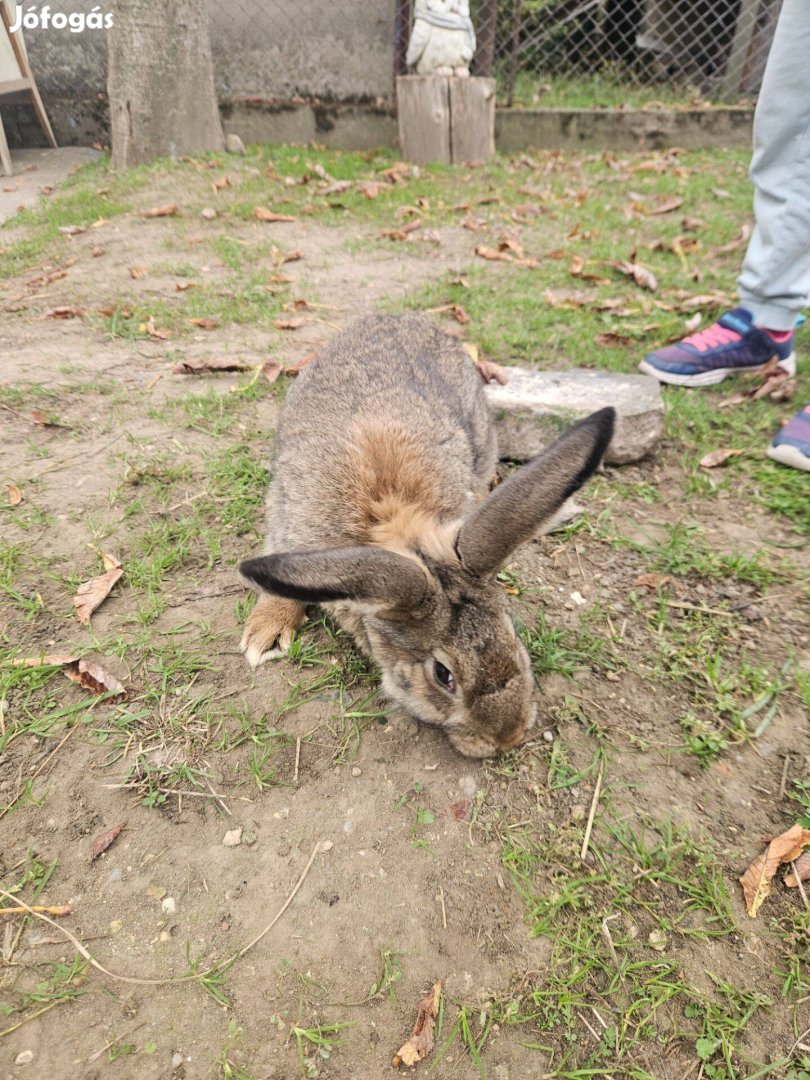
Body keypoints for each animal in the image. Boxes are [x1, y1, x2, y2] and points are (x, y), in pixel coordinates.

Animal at [240, 315, 613, 760]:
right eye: (442, 675)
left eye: (513, 632)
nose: (509, 738)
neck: (396, 522)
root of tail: (402, 317)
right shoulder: (286, 521)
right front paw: (265, 634)